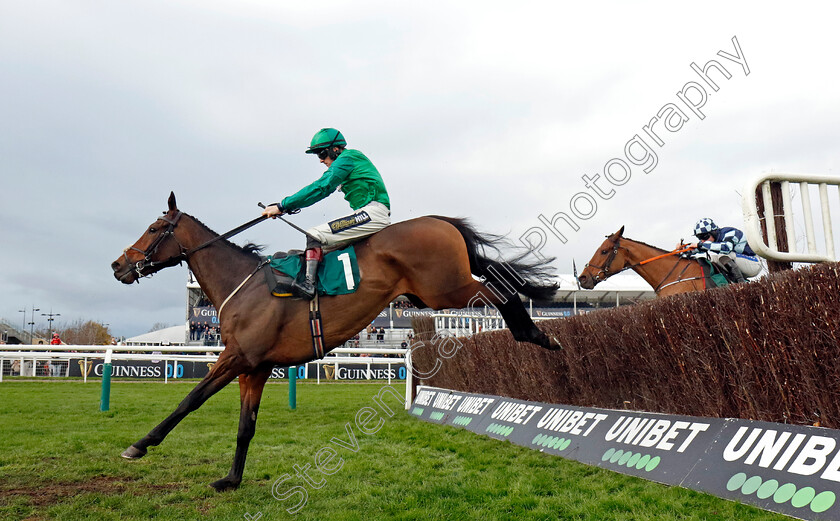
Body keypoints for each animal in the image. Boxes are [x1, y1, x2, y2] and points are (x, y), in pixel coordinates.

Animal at [110, 193, 556, 490]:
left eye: (154, 229)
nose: (118, 265)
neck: (244, 285)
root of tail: (438, 219)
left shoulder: (236, 357)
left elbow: (189, 400)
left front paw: (139, 445)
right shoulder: (256, 368)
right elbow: (245, 427)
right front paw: (232, 479)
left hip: (446, 289)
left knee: (498, 290)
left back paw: (536, 334)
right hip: (431, 293)